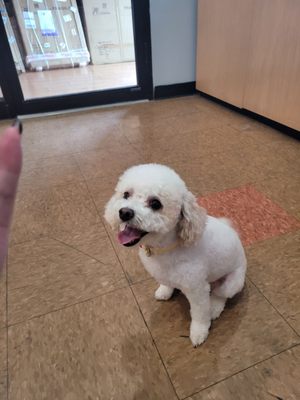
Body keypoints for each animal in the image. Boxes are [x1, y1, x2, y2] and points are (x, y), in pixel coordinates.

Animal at [105, 164, 246, 346]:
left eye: (155, 203)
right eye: (126, 194)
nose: (124, 212)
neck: (165, 248)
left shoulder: (197, 289)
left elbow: (199, 313)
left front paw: (199, 332)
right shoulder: (162, 273)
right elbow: (166, 282)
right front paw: (165, 291)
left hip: (233, 282)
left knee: (220, 295)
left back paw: (214, 308)